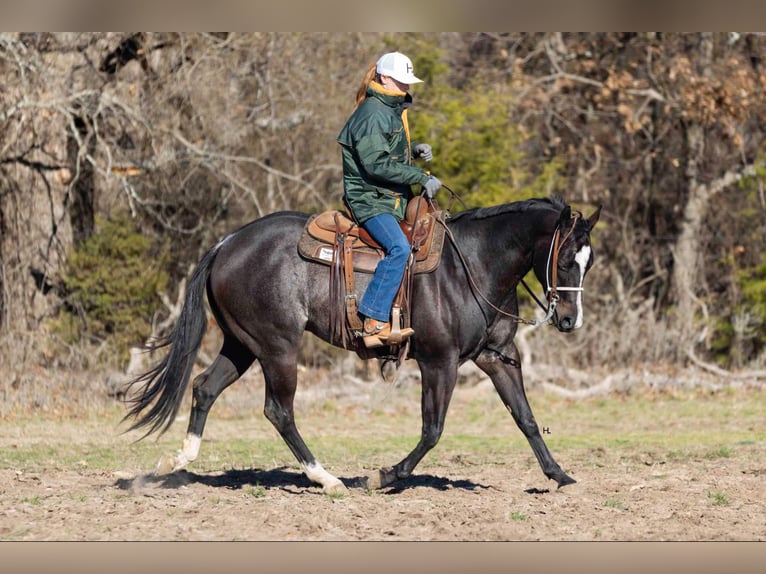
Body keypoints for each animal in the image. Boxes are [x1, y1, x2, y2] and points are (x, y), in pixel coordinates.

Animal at [124, 196, 601, 495]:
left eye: (589, 261)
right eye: (564, 258)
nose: (569, 319)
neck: (473, 264)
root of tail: (226, 244)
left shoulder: (499, 358)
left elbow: (527, 419)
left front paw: (559, 475)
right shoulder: (439, 363)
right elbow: (432, 430)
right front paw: (384, 476)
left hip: (242, 344)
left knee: (204, 388)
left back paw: (177, 462)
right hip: (278, 347)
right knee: (279, 410)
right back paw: (328, 480)